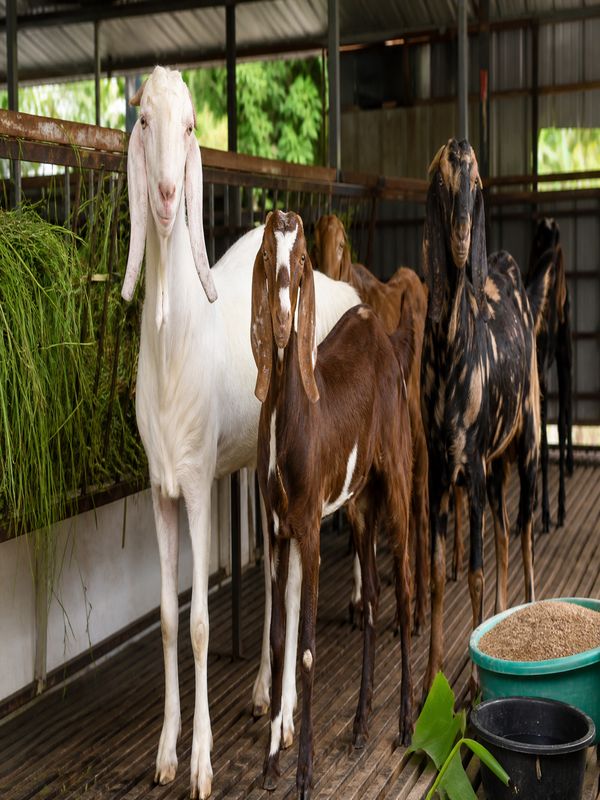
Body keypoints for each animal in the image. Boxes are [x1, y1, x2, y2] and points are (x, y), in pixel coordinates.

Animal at [121, 66, 360, 799]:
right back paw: (261, 691)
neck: (174, 345)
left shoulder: (200, 483)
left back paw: (285, 709)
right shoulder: (162, 488)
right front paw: (166, 751)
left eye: (192, 125)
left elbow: (200, 622)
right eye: (143, 121)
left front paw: (202, 762)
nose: (167, 196)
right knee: (273, 575)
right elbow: (168, 618)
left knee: (294, 581)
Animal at [252, 210, 414, 798]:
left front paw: (304, 772)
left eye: (301, 262)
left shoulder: (310, 530)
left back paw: (406, 724)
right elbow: (279, 640)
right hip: (362, 503)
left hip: (398, 479)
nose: (280, 327)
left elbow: (304, 649)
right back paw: (363, 723)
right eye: (265, 255)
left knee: (405, 592)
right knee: (372, 602)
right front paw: (271, 762)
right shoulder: (276, 529)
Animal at [313, 213, 429, 633]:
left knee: (419, 501)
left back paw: (419, 606)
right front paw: (359, 599)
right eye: (314, 243)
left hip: (414, 425)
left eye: (343, 244)